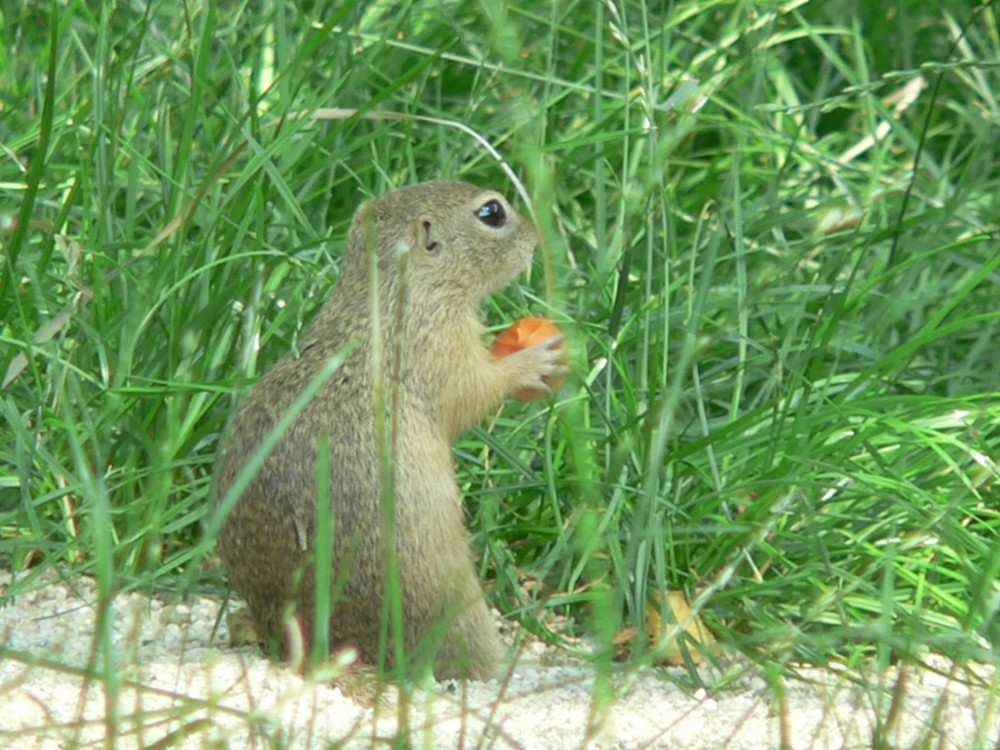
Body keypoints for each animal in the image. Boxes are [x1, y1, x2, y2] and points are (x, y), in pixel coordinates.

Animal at [213, 178, 564, 680]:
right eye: (492, 212)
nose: (537, 241)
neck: (391, 291)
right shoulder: (439, 347)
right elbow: (475, 390)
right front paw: (535, 361)